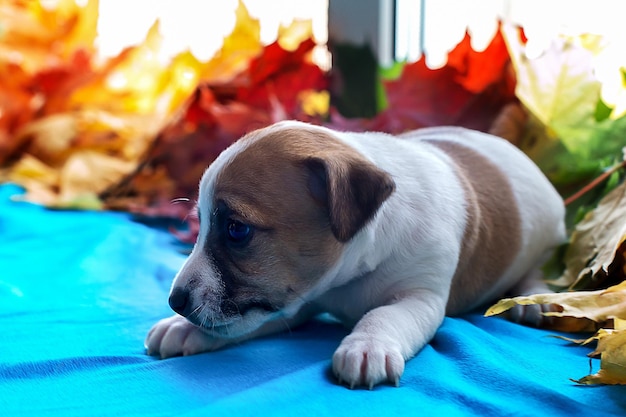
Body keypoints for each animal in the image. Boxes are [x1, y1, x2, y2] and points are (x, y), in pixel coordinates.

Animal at [144, 122, 564, 388]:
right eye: (200, 224)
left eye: (236, 229)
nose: (176, 301)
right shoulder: (300, 301)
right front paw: (184, 328)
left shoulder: (421, 297)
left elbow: (385, 314)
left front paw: (367, 345)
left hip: (546, 242)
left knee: (538, 270)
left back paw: (534, 298)